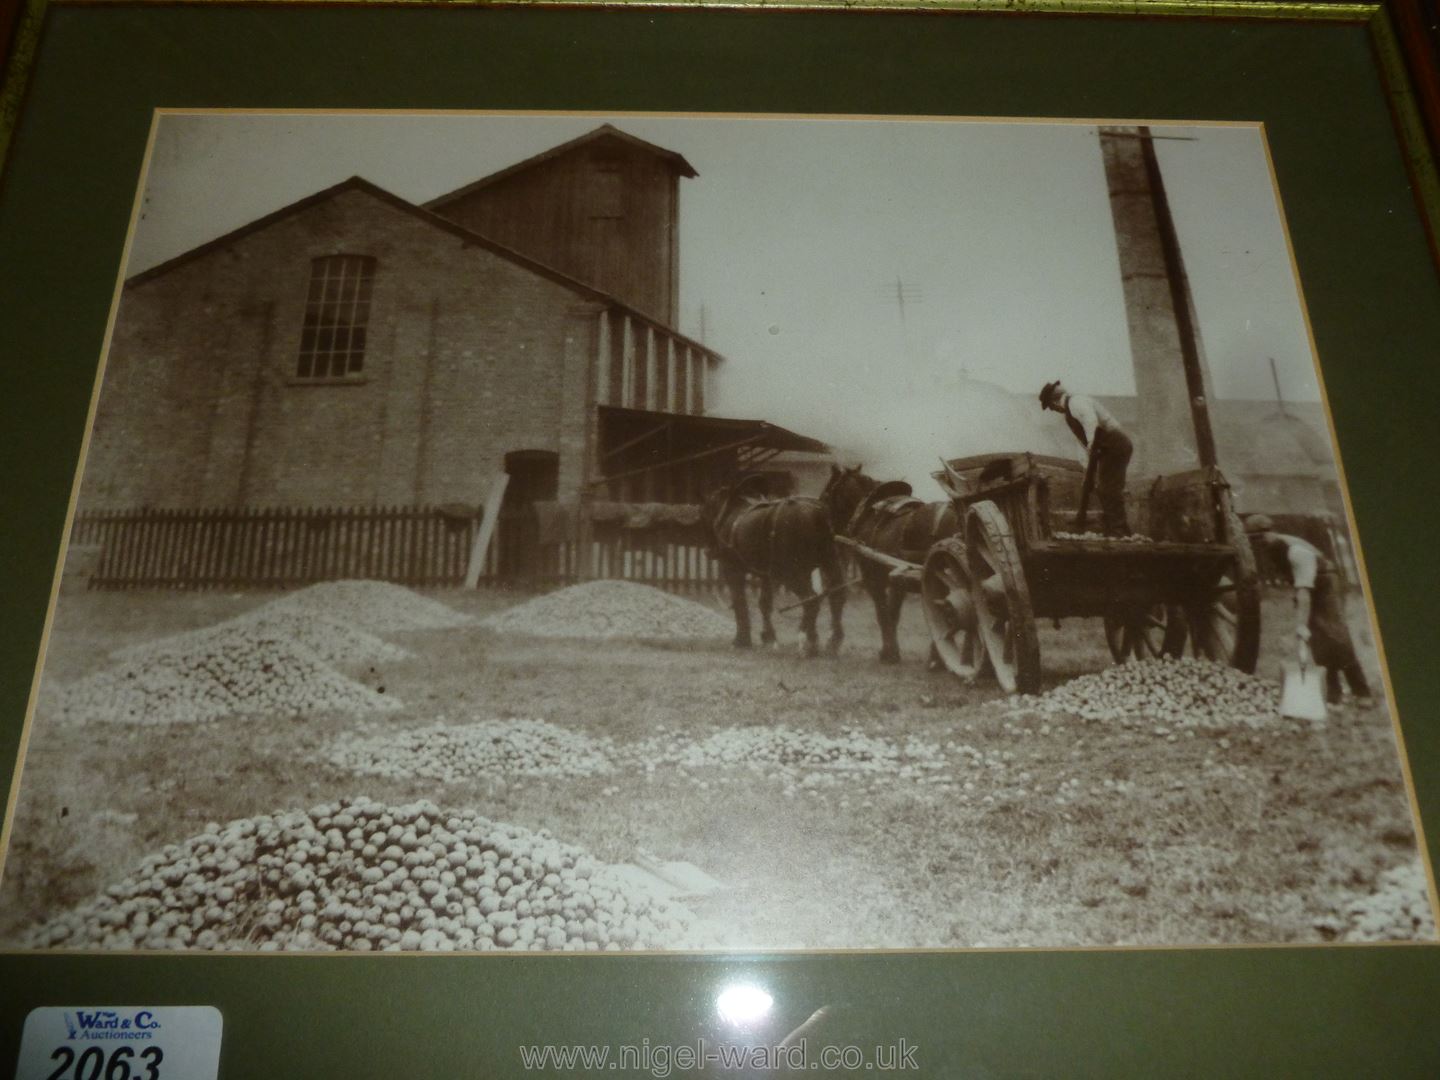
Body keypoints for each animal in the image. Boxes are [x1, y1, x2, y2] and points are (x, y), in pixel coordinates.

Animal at [696, 475, 840, 659]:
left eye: (702, 515)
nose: (709, 551)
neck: (729, 515)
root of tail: (817, 515)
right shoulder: (767, 575)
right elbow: (764, 603)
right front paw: (769, 638)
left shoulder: (733, 570)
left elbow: (739, 602)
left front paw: (741, 640)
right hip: (827, 563)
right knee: (835, 595)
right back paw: (825, 640)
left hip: (793, 574)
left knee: (811, 599)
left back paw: (807, 643)